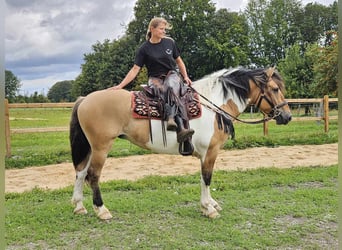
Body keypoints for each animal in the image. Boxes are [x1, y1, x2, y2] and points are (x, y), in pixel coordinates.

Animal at [69, 66, 292, 219]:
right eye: (274, 88)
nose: (287, 116)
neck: (214, 105)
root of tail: (85, 99)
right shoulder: (210, 151)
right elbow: (207, 178)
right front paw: (208, 208)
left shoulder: (205, 153)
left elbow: (203, 178)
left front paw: (209, 204)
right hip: (101, 147)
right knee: (93, 175)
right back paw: (101, 210)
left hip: (91, 148)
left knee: (80, 172)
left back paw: (79, 206)